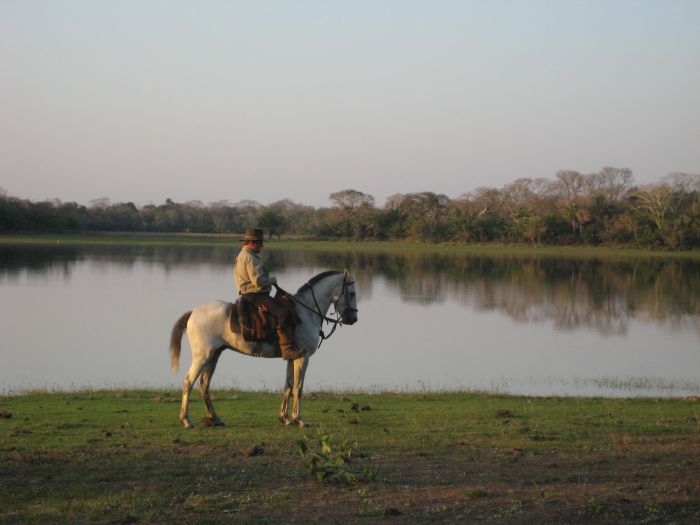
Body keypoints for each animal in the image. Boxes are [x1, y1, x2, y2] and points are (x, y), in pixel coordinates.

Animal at [168, 270, 356, 426]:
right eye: (352, 293)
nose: (353, 319)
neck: (306, 312)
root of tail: (193, 312)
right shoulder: (303, 357)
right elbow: (298, 388)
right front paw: (299, 419)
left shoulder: (292, 357)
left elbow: (288, 386)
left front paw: (285, 418)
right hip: (202, 357)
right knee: (188, 383)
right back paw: (186, 420)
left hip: (214, 355)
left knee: (204, 385)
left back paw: (215, 418)